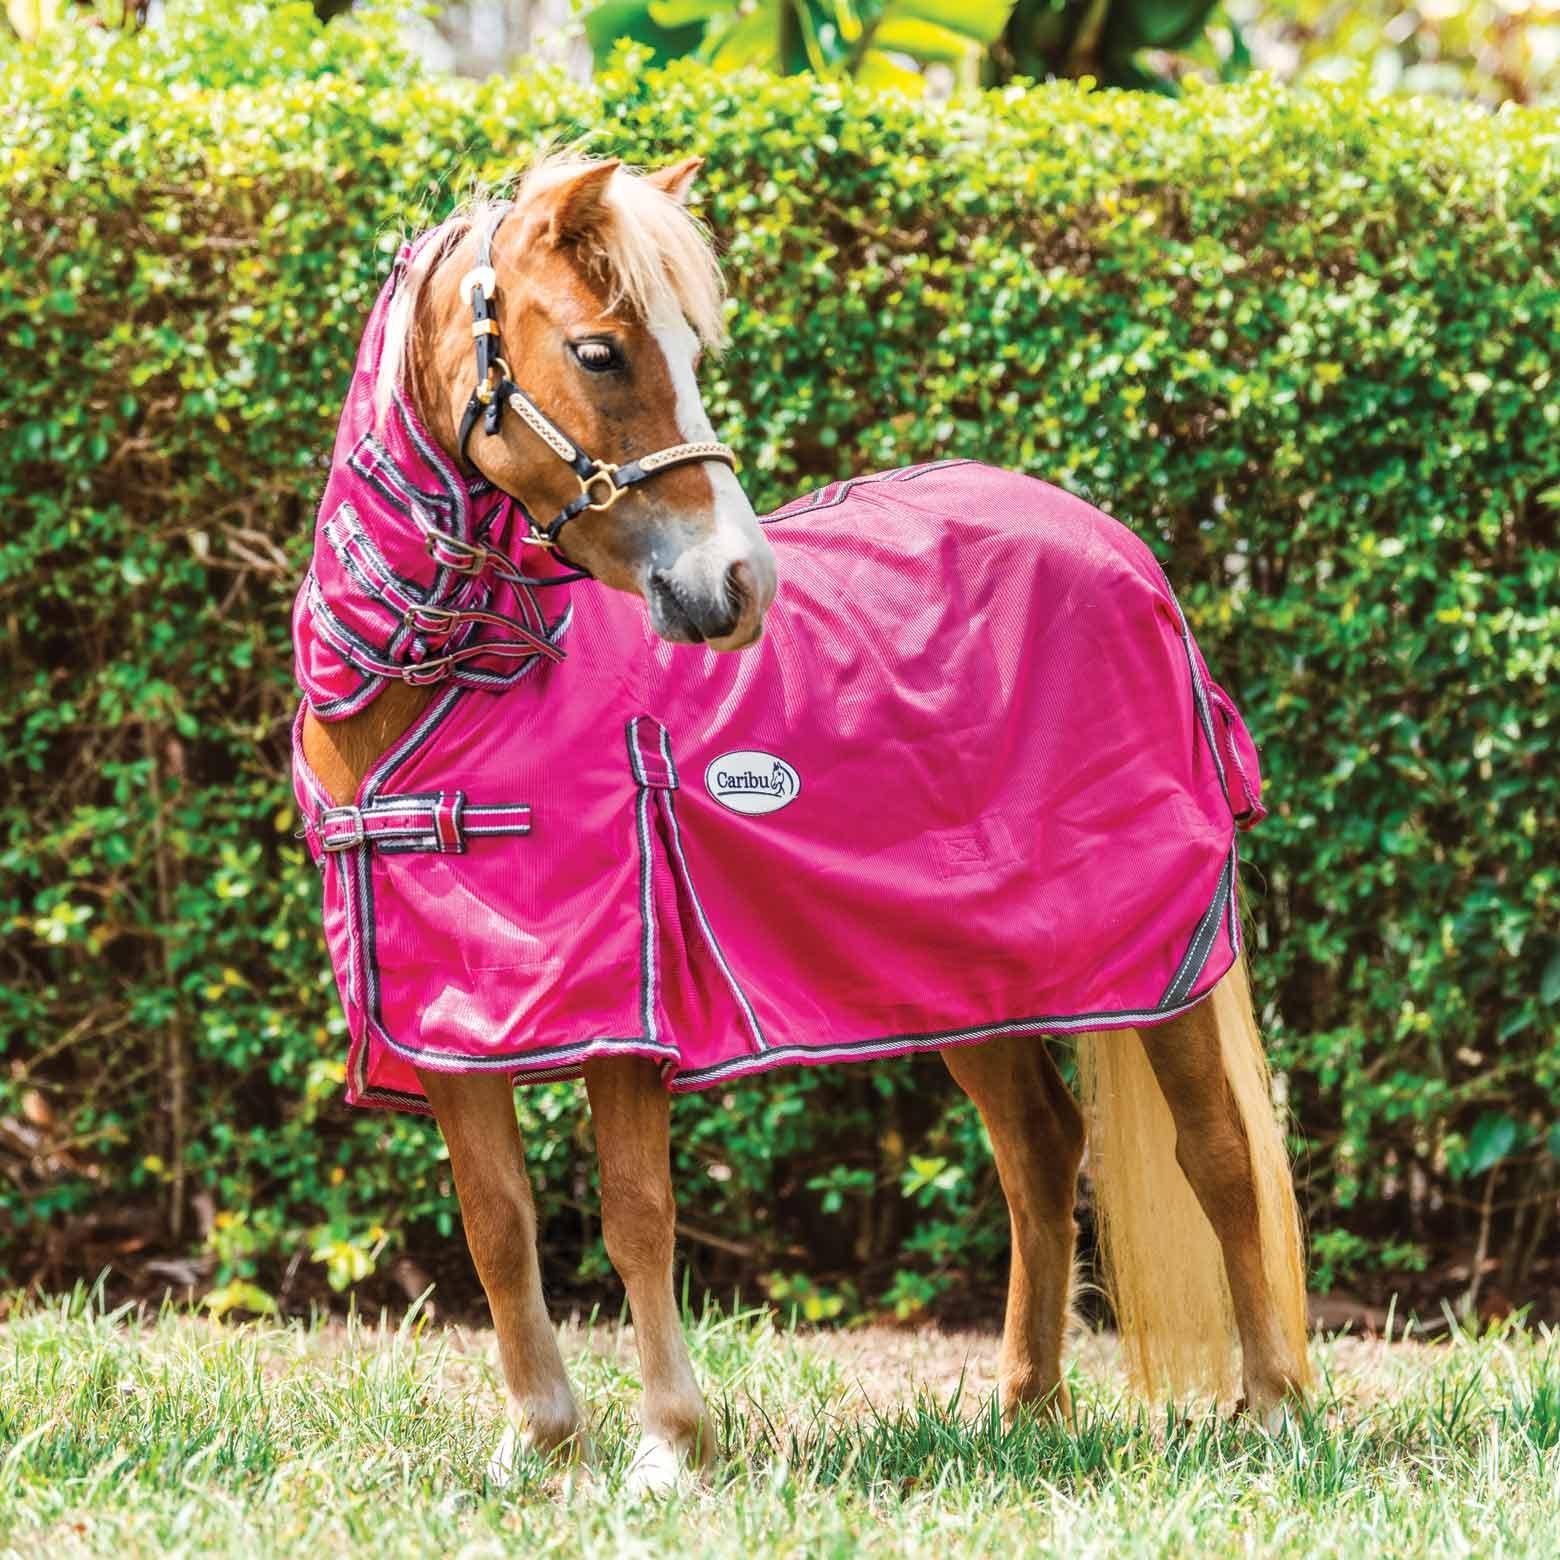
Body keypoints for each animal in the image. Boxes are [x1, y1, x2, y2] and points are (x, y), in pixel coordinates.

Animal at [293, 152, 1311, 1492]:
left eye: (691, 348)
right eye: (600, 351)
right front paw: (543, 1443)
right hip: (967, 973)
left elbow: (635, 1216)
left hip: (1165, 964)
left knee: (1220, 1155)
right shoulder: (460, 1030)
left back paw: (1276, 1409)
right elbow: (499, 1225)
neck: (453, 692)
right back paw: (1028, 1407)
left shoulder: (624, 1014)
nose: (738, 588)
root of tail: (1122, 552)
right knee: (1041, 1147)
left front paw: (670, 1447)